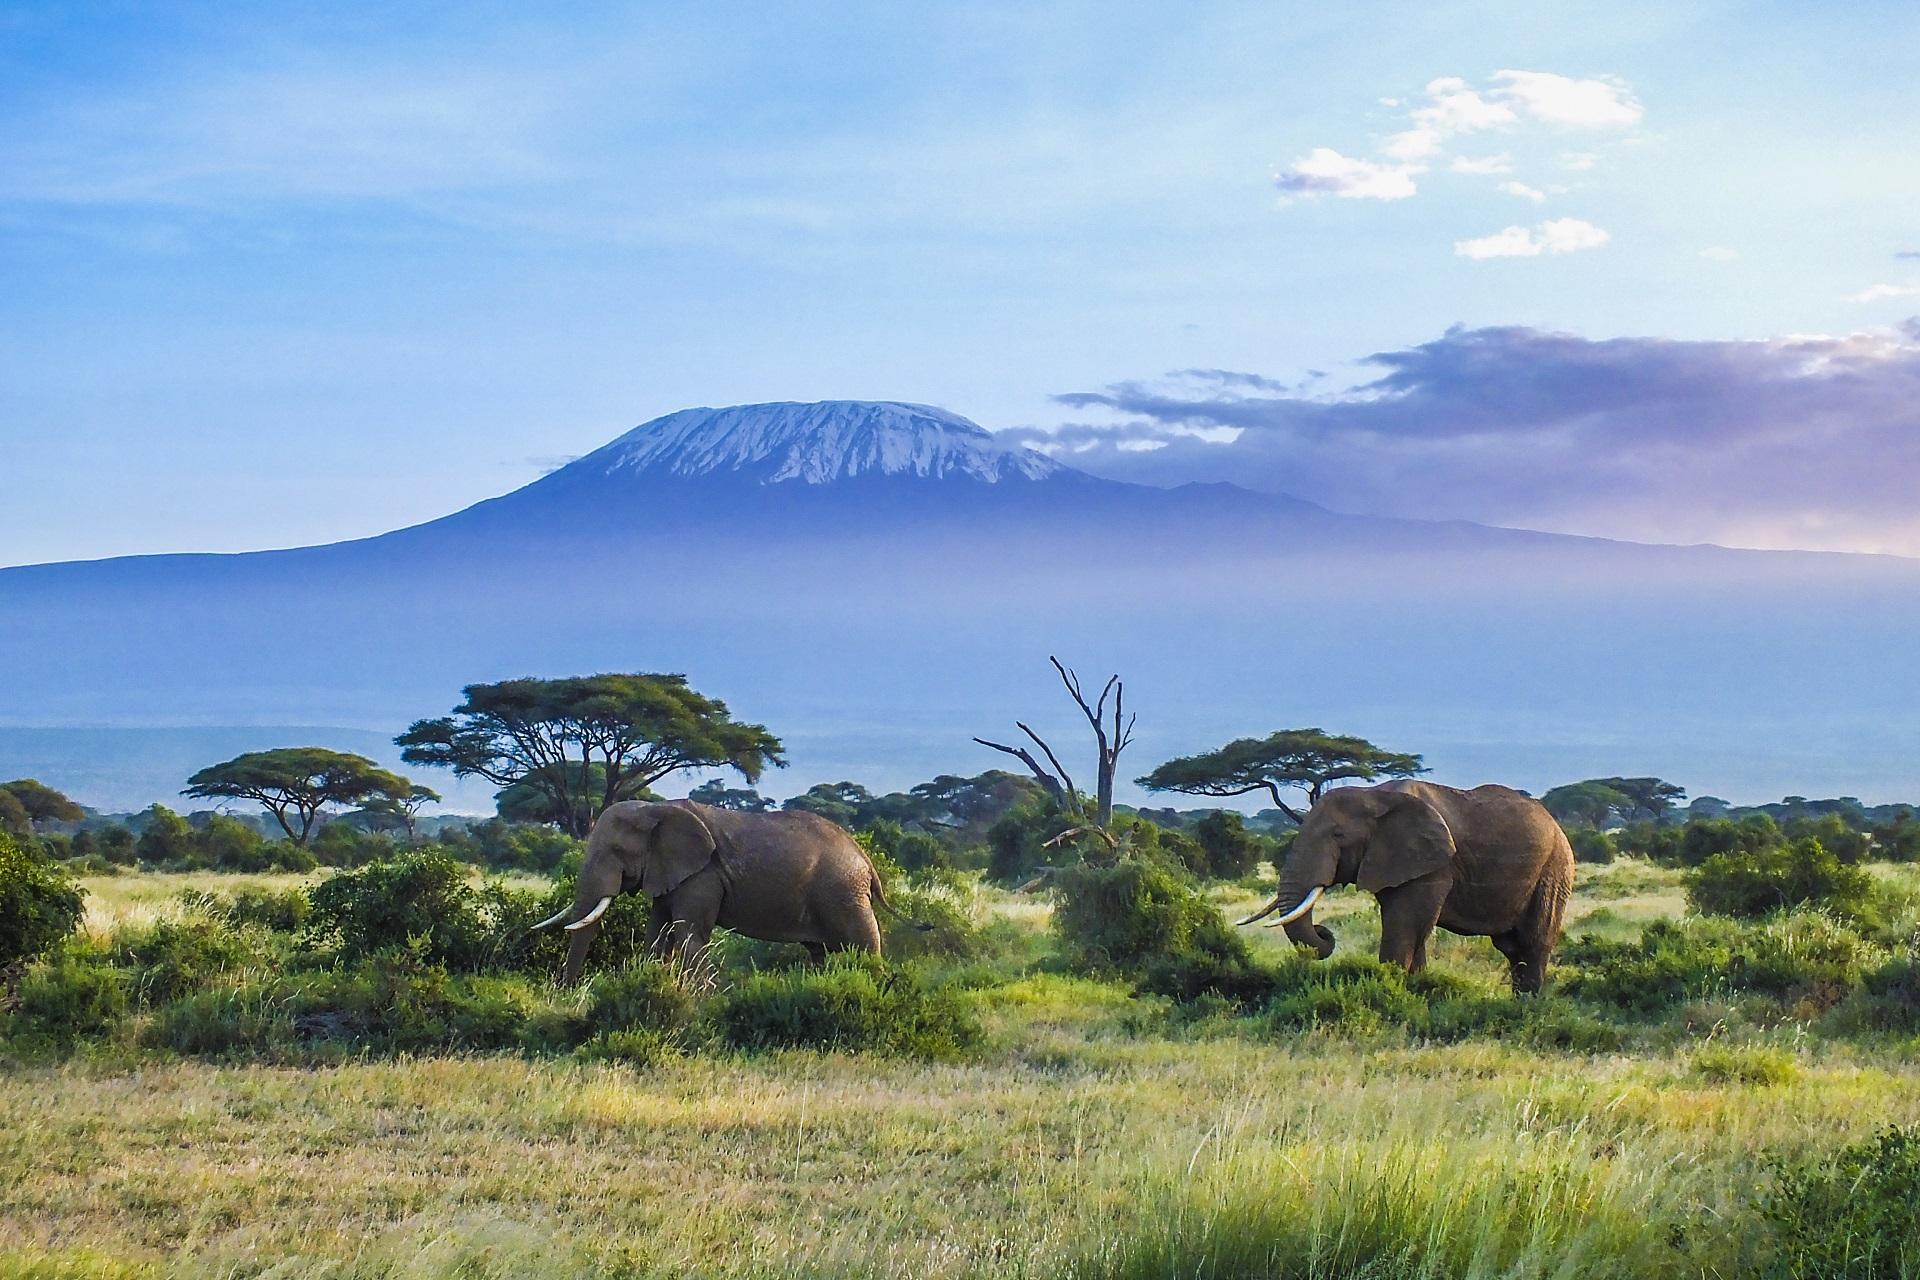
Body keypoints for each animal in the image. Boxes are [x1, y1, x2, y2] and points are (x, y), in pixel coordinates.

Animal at [531, 799, 911, 983]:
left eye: (615, 851)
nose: (565, 991)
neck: (656, 809)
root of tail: (866, 860)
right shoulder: (669, 872)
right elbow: (658, 933)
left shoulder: (703, 875)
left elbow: (689, 933)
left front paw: (698, 998)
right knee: (821, 953)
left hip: (843, 894)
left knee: (863, 947)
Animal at [1237, 780, 1574, 993]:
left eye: (1338, 835)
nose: (1324, 931)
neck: (1374, 795)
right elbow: (1411, 930)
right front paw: (1417, 990)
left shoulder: (1433, 865)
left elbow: (1406, 927)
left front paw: (1391, 990)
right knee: (1511, 947)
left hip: (1554, 870)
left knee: (1534, 941)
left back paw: (1527, 1005)